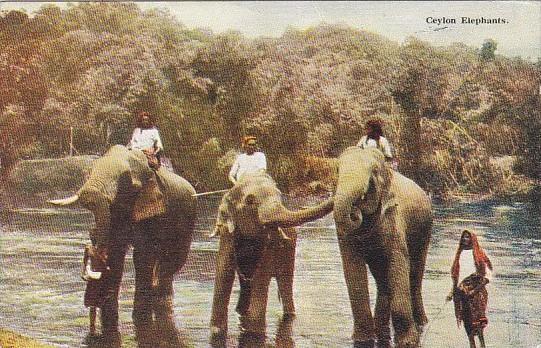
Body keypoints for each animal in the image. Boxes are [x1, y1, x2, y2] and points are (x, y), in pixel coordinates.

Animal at [48, 145, 196, 346]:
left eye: (127, 181)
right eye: (92, 169)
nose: (92, 242)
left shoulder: (152, 210)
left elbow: (143, 256)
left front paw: (140, 319)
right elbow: (116, 251)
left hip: (187, 223)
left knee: (169, 265)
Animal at [208, 173, 332, 342]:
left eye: (280, 195)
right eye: (250, 201)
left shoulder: (268, 242)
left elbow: (261, 277)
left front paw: (254, 333)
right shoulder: (228, 234)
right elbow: (224, 271)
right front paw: (216, 332)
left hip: (289, 252)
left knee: (285, 284)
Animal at [332, 147, 432, 348]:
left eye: (374, 171)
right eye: (337, 170)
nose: (355, 211)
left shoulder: (394, 216)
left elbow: (398, 263)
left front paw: (408, 342)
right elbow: (353, 271)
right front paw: (362, 339)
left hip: (425, 232)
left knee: (414, 276)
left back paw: (422, 324)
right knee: (383, 281)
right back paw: (381, 329)